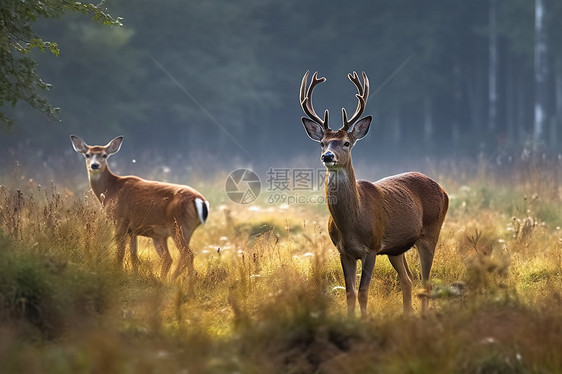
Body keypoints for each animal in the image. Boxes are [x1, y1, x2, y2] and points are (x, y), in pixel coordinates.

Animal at [70, 134, 208, 278]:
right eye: (87, 154)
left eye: (104, 155)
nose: (95, 165)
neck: (111, 190)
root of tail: (200, 200)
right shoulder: (133, 230)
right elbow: (133, 256)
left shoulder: (120, 220)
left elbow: (120, 253)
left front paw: (117, 272)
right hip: (175, 231)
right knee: (171, 258)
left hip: (178, 225)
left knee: (187, 255)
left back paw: (174, 280)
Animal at [298, 71, 446, 318]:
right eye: (322, 143)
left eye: (346, 143)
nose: (328, 156)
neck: (352, 224)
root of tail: (442, 189)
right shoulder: (344, 251)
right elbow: (349, 292)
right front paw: (350, 320)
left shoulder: (372, 247)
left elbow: (363, 291)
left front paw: (364, 320)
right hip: (396, 248)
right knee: (408, 279)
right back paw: (407, 313)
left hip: (430, 232)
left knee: (425, 281)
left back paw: (422, 315)